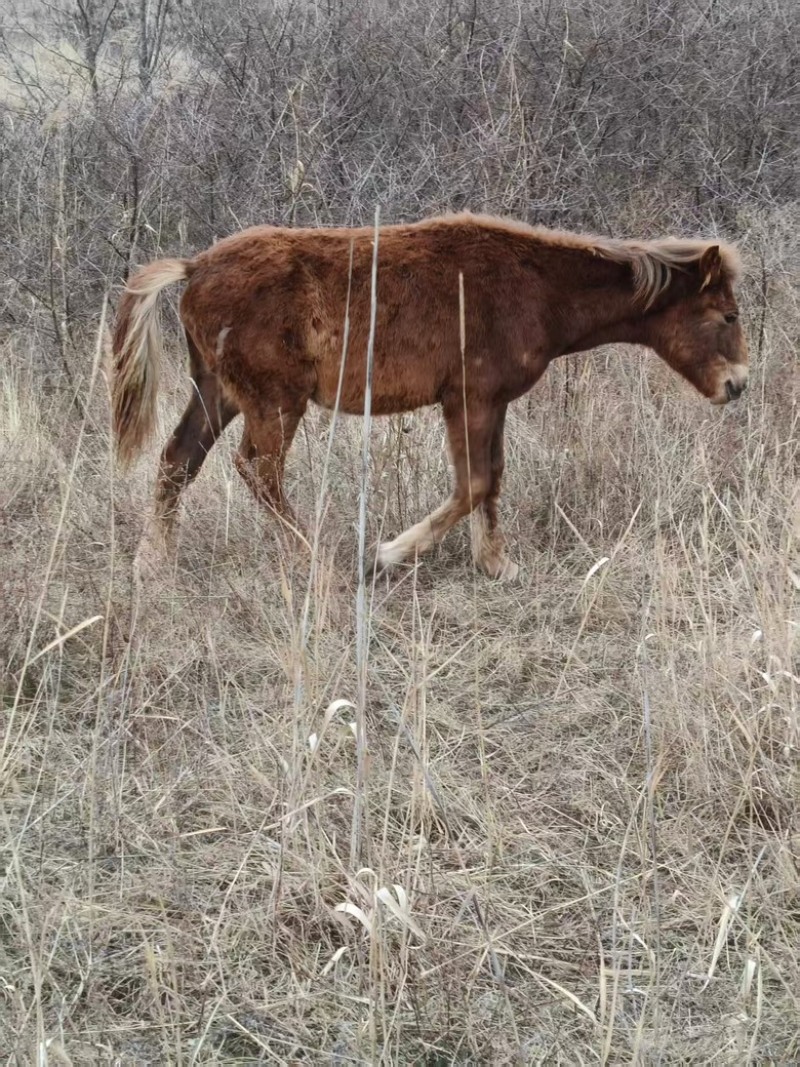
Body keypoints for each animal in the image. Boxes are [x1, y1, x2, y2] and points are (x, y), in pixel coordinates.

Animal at [111, 212, 748, 579]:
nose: (737, 385)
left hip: (217, 392)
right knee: (258, 472)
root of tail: (194, 267)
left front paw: (495, 563)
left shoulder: (490, 402)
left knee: (178, 460)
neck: (537, 287)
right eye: (726, 315)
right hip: (274, 402)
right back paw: (319, 563)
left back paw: (151, 566)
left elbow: (491, 479)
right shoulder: (470, 398)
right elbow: (474, 484)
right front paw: (390, 553)